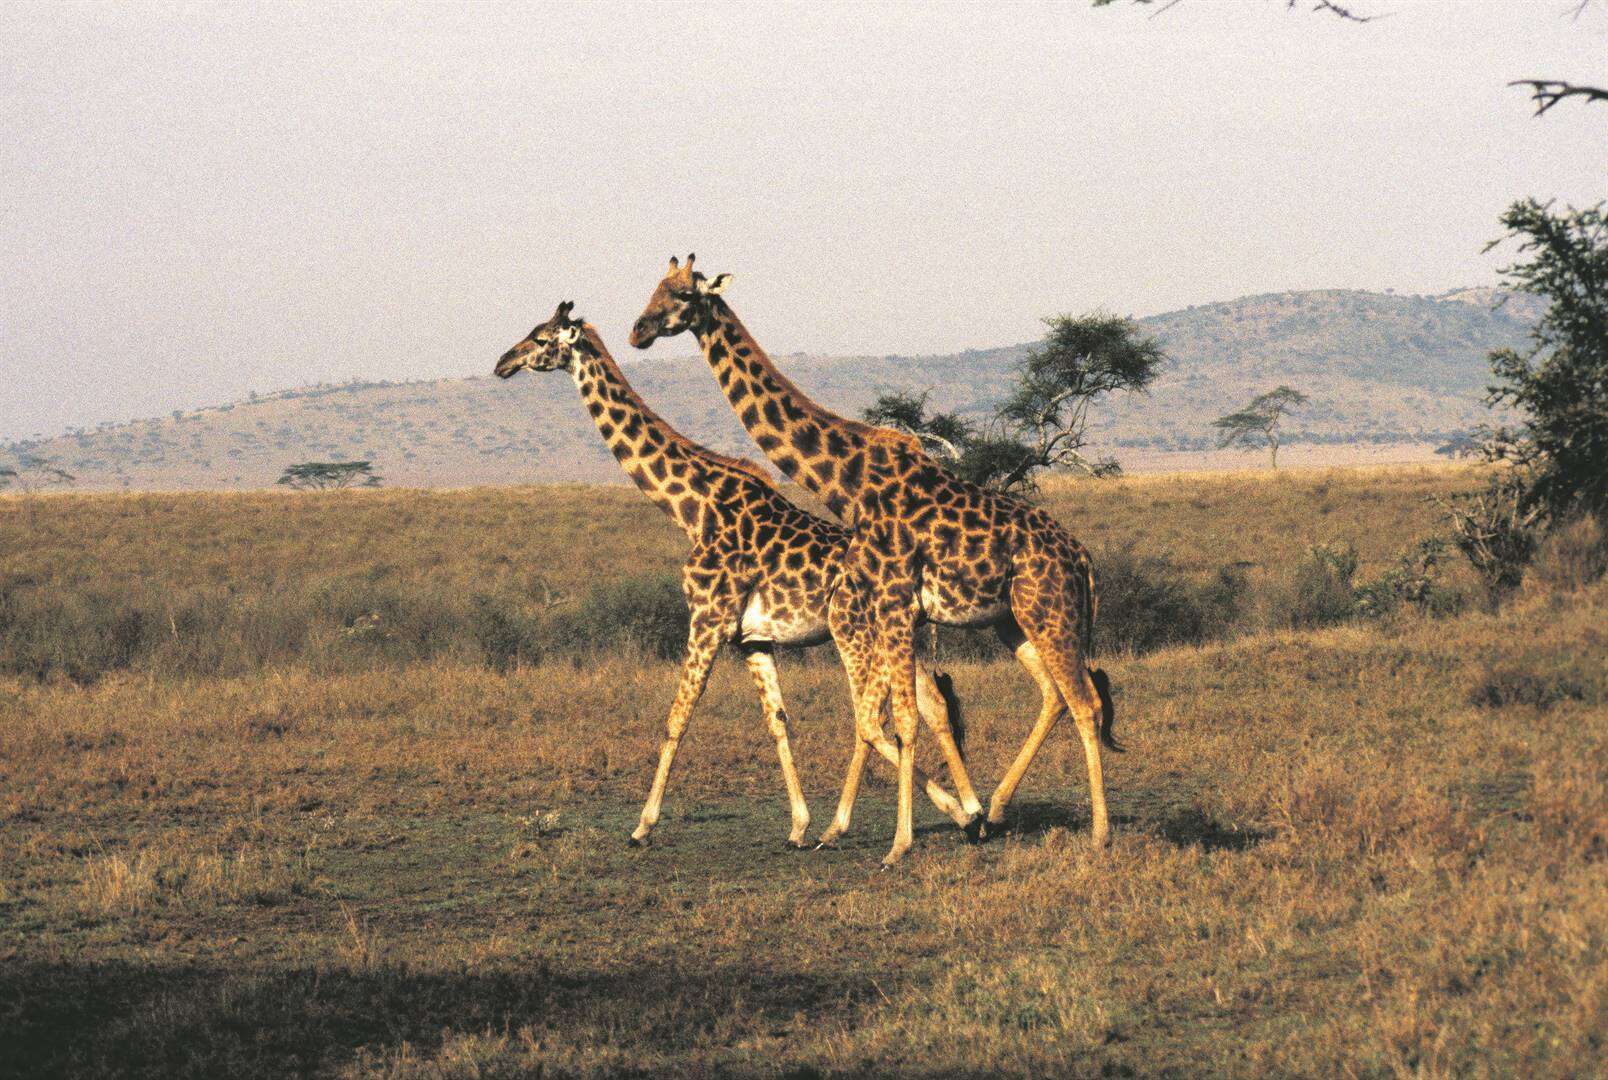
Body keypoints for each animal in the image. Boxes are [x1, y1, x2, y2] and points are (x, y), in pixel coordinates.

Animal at [492, 305, 977, 855]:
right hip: (894, 636)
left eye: (541, 338)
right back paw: (970, 810)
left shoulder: (706, 619)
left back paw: (937, 815)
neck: (691, 509)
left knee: (877, 720)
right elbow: (778, 721)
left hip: (855, 632)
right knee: (928, 706)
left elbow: (676, 717)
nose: (503, 363)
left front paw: (642, 825)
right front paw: (798, 824)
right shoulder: (752, 638)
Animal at [630, 257, 1119, 867]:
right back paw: (999, 810)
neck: (849, 481)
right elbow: (897, 717)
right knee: (1055, 695)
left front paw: (898, 844)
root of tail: (1082, 559)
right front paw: (931, 823)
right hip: (1014, 620)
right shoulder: (896, 608)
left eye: (680, 294)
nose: (638, 331)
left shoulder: (893, 601)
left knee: (1085, 703)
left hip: (1050, 613)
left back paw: (1097, 835)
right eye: (654, 287)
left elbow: (901, 718)